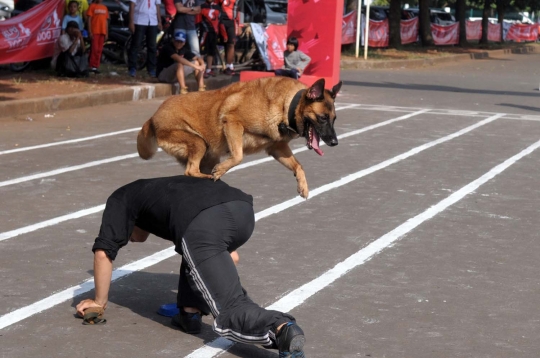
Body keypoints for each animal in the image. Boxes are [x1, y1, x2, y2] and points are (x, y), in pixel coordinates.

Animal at [138, 77, 342, 199]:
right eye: (323, 118)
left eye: (334, 119)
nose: (335, 143)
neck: (287, 105)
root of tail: (153, 117)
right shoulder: (232, 123)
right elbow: (238, 156)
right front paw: (221, 170)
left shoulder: (277, 148)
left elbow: (299, 166)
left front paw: (303, 186)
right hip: (199, 143)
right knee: (190, 171)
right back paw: (210, 176)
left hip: (208, 154)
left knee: (192, 171)